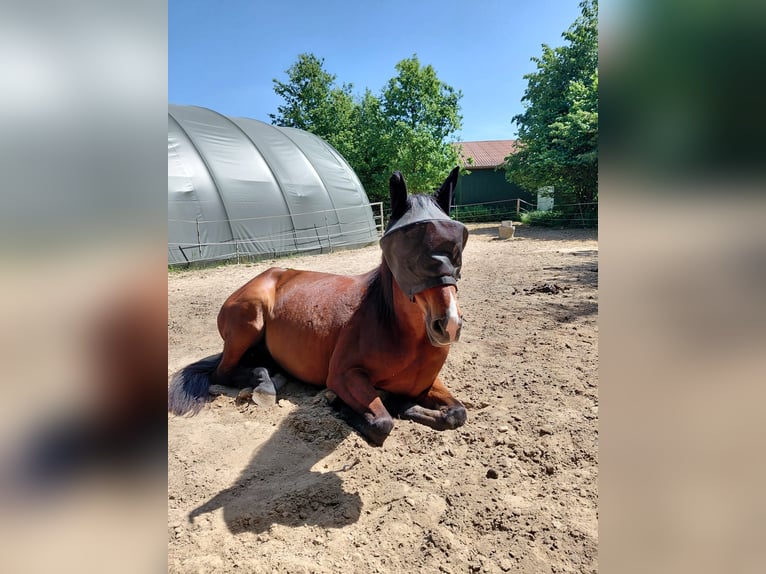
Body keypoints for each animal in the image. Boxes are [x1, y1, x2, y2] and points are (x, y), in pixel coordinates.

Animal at [168, 167, 469, 446]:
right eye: (407, 253)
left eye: (457, 250)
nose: (449, 324)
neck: (399, 333)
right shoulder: (343, 375)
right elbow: (382, 422)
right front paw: (339, 403)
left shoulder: (426, 384)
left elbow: (457, 413)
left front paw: (403, 404)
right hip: (248, 323)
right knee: (223, 371)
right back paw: (263, 386)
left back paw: (272, 379)